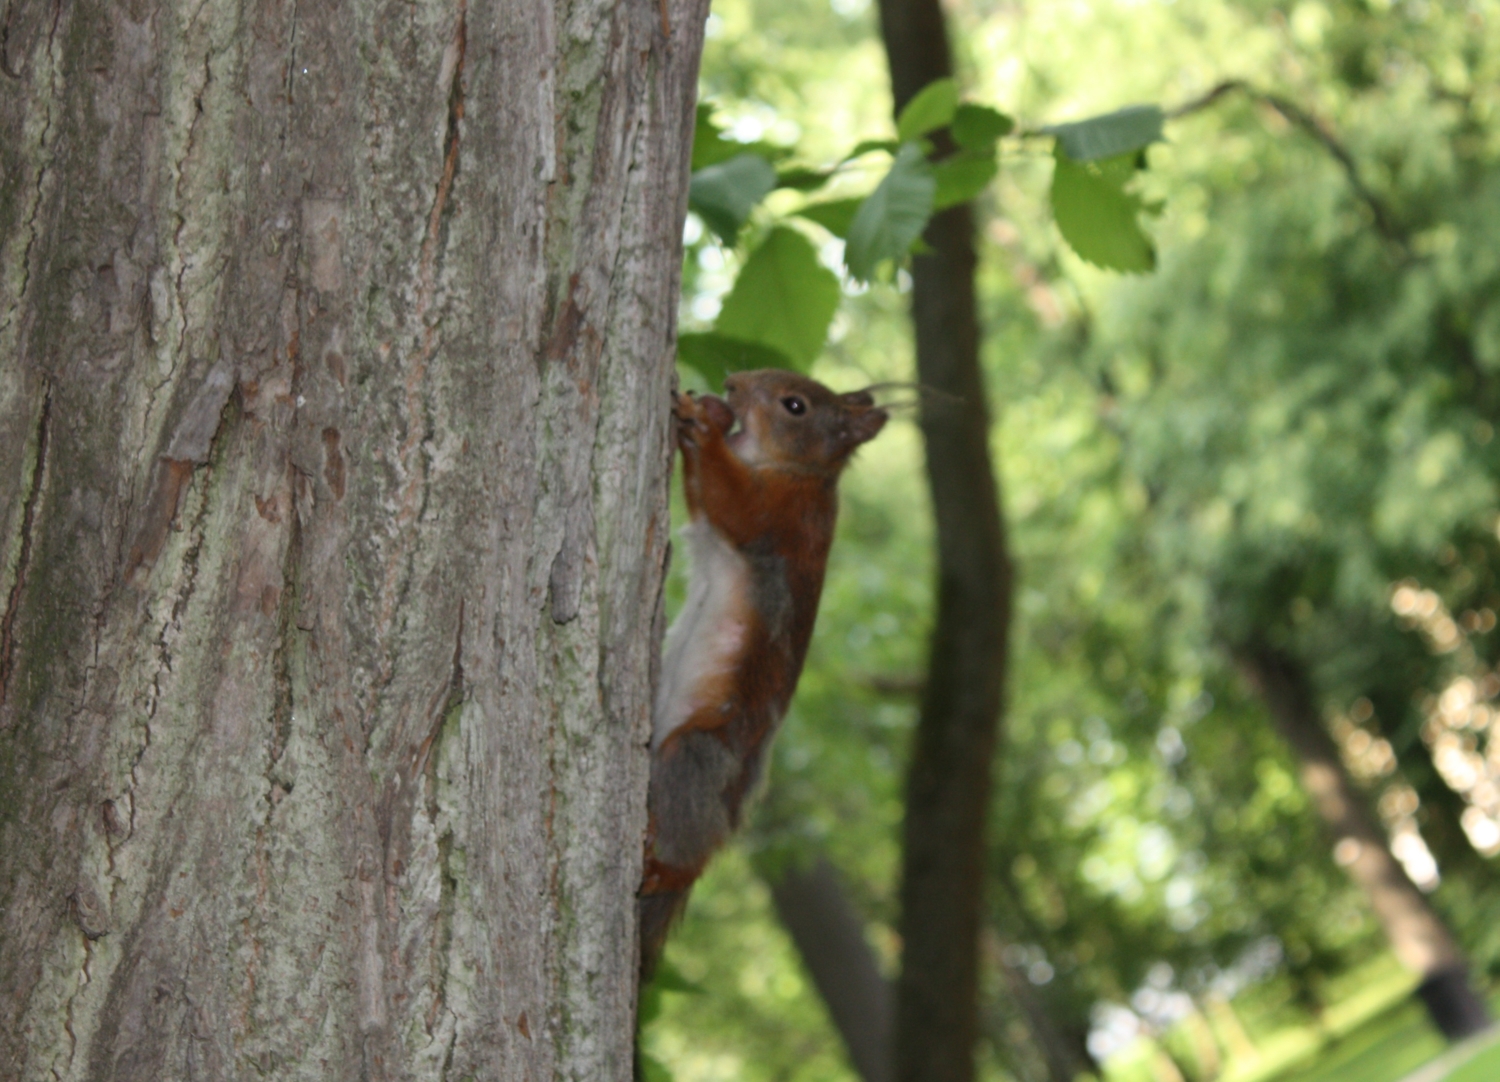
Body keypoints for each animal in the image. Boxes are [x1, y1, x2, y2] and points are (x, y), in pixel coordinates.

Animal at [639, 367, 882, 972]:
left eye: (795, 405)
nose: (731, 381)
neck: (803, 476)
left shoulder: (784, 519)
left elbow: (735, 503)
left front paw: (704, 427)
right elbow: (705, 500)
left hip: (700, 756)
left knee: (687, 837)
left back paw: (662, 867)